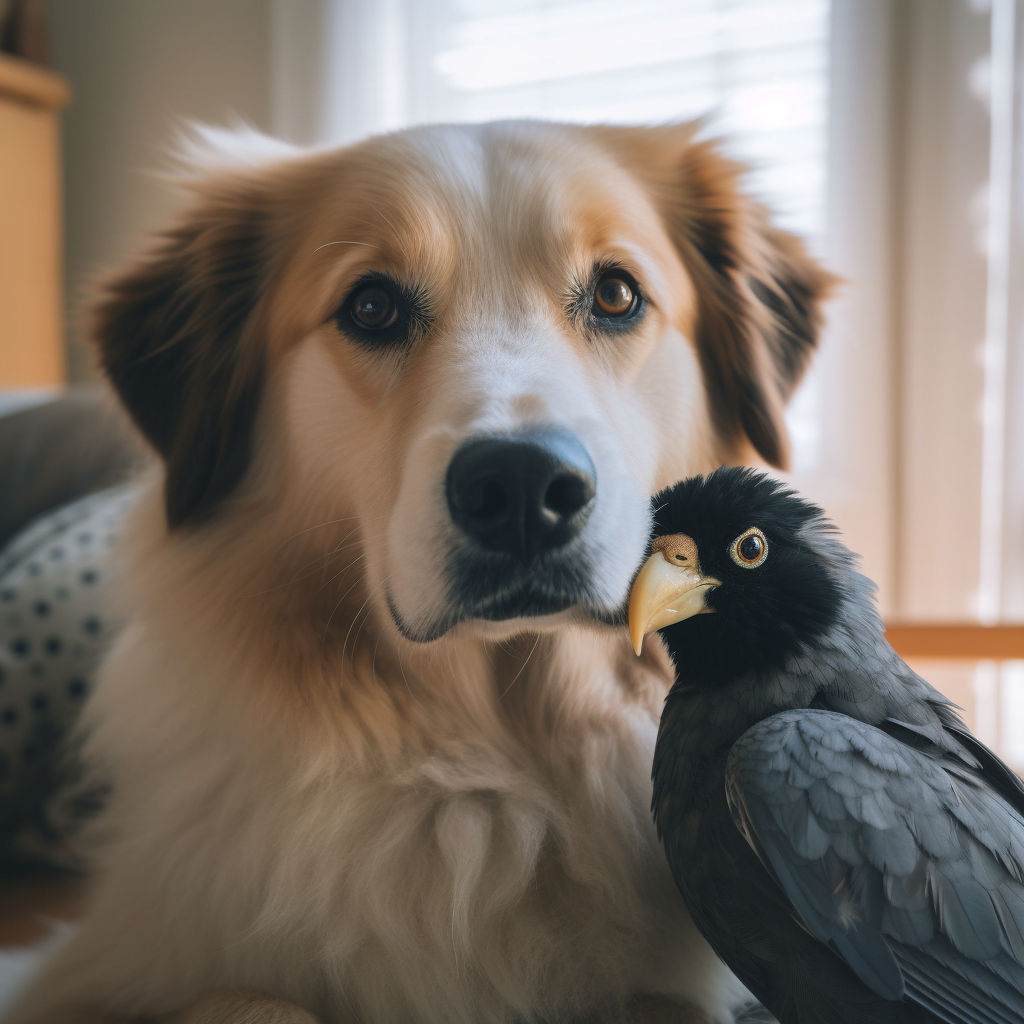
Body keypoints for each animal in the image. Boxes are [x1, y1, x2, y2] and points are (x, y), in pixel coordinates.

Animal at [6, 121, 831, 1024]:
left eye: (616, 295)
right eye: (371, 307)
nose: (522, 491)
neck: (490, 772)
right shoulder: (88, 970)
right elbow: (253, 999)